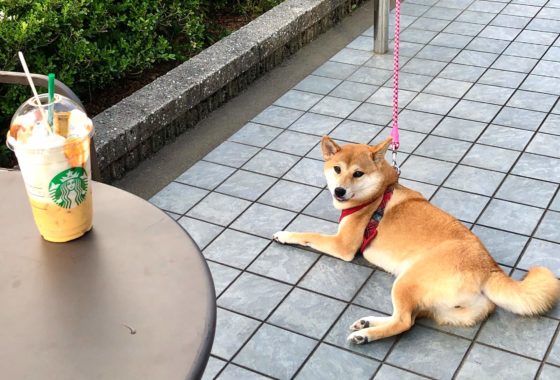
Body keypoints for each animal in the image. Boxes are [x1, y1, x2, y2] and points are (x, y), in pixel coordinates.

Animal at [272, 136, 560, 344]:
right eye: (337, 169)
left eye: (358, 174)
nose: (340, 191)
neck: (378, 195)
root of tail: (489, 268)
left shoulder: (343, 245)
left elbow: (309, 234)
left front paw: (284, 234)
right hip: (440, 305)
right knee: (411, 315)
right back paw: (367, 324)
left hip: (406, 282)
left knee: (404, 322)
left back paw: (366, 335)